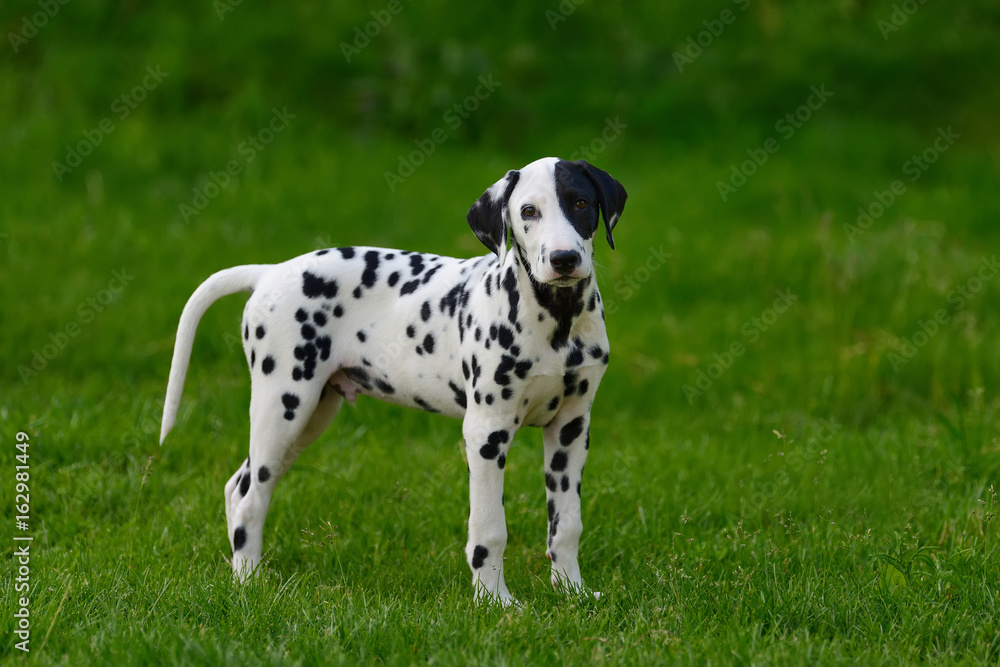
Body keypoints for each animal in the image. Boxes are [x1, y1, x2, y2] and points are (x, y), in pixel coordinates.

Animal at [161, 157, 628, 604]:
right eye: (528, 211)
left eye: (580, 203)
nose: (564, 259)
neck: (557, 319)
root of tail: (270, 272)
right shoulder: (486, 433)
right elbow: (490, 530)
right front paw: (495, 602)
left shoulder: (570, 429)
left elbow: (566, 524)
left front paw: (571, 591)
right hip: (284, 406)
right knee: (250, 499)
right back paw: (248, 585)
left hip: (309, 417)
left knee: (237, 486)